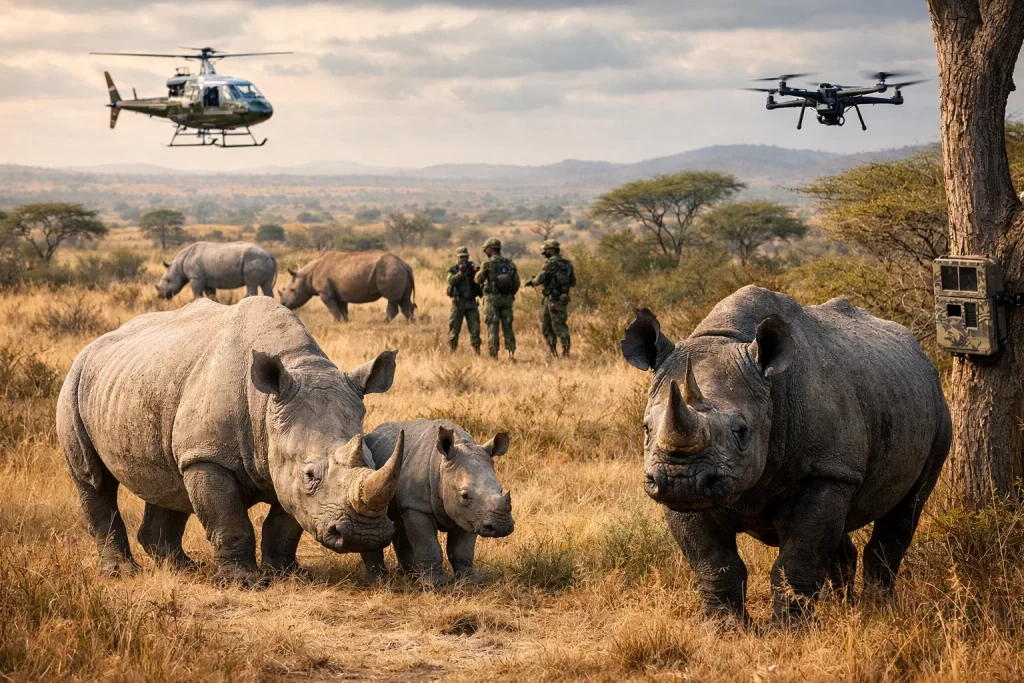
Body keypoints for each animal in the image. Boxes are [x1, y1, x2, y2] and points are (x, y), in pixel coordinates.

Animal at [56, 296, 405, 587]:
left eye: (373, 461)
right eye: (309, 475)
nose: (364, 535)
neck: (266, 407)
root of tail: (90, 347)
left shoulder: (279, 463)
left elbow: (285, 524)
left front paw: (288, 576)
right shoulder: (209, 456)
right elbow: (229, 520)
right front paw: (244, 583)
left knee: (170, 481)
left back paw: (184, 568)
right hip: (74, 382)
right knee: (92, 478)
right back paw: (121, 573)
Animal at [277, 250, 416, 322]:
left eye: (292, 290)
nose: (283, 304)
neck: (306, 275)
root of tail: (405, 265)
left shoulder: (325, 293)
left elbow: (332, 308)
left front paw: (336, 322)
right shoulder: (339, 292)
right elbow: (342, 308)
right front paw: (344, 321)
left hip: (391, 270)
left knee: (392, 299)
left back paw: (383, 323)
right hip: (399, 271)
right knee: (404, 300)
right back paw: (410, 322)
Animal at [360, 419, 513, 586]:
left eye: (501, 489)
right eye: (464, 496)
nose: (502, 527)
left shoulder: (471, 515)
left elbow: (462, 550)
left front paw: (470, 580)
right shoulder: (417, 506)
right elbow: (428, 545)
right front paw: (435, 583)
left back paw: (410, 574)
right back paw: (382, 579)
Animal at [621, 286, 951, 620]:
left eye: (742, 431)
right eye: (646, 428)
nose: (681, 480)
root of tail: (920, 352)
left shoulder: (824, 473)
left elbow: (797, 561)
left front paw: (788, 628)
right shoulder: (683, 496)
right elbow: (714, 564)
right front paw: (724, 626)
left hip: (937, 411)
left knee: (908, 506)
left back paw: (877, 610)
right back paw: (843, 607)